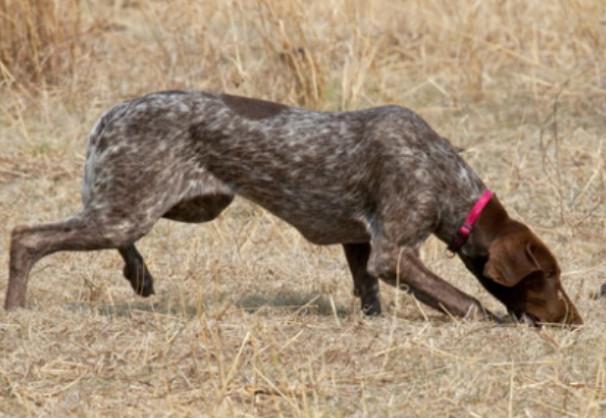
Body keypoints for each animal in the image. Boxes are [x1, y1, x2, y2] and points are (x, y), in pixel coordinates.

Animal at [3, 90, 584, 326]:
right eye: (549, 277)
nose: (576, 321)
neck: (444, 175)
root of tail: (111, 114)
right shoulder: (393, 252)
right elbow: (461, 299)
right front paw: (489, 319)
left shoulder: (361, 243)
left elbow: (367, 292)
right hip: (133, 206)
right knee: (28, 237)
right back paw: (16, 307)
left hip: (183, 202)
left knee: (121, 239)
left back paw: (141, 277)